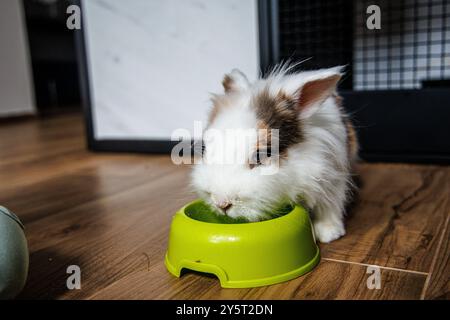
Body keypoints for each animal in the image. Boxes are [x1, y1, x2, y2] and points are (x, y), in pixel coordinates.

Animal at [191, 63, 358, 241]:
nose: (221, 203)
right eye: (205, 148)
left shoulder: (332, 178)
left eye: (260, 156)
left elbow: (329, 206)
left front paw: (329, 233)